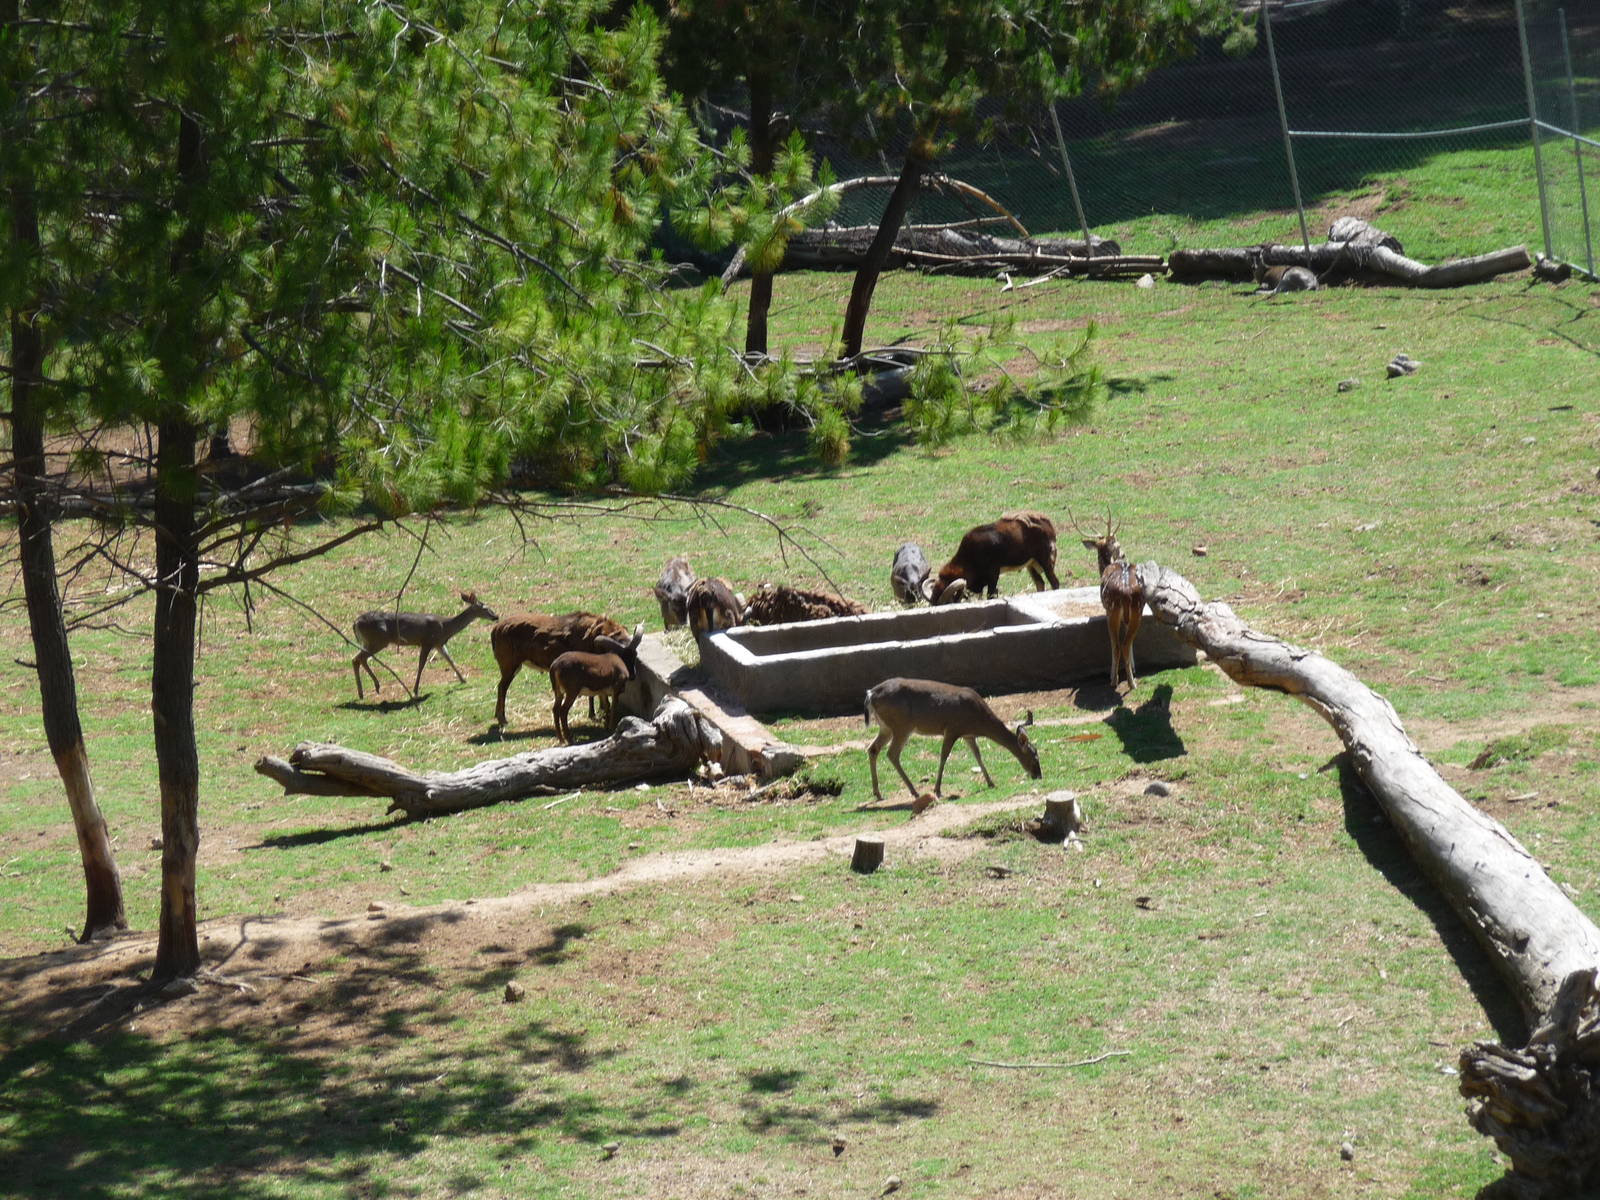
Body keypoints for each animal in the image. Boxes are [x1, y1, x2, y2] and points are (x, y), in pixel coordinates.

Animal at [351, 591, 498, 700]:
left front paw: (463, 679)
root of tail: (356, 622)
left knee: (358, 659)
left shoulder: (438, 643)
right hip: (378, 640)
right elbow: (421, 665)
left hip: (371, 641)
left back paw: (366, 691)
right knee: (358, 658)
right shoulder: (427, 641)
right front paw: (415, 690)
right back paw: (369, 689)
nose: (496, 616)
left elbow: (449, 659)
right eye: (485, 608)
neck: (446, 627)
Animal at [489, 609, 627, 726]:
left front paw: (597, 713)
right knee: (502, 687)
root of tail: (496, 629)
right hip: (510, 666)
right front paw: (595, 714)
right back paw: (502, 719)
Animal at [863, 677, 1041, 804]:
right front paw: (937, 789)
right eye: (1034, 756)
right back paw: (914, 791)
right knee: (892, 753)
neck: (979, 720)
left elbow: (978, 755)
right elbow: (944, 756)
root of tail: (870, 694)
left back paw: (878, 793)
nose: (1038, 775)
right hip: (902, 725)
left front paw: (990, 782)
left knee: (873, 749)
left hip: (886, 727)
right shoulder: (952, 729)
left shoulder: (968, 735)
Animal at [927, 511, 1058, 605]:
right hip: (1031, 565)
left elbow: (990, 595)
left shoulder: (994, 573)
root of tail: (1047, 524)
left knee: (1055, 583)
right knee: (1040, 583)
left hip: (1045, 560)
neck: (969, 556)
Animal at [1074, 510, 1146, 693]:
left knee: (1118, 645)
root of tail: (1126, 591)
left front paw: (1116, 676)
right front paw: (1133, 668)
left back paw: (1121, 682)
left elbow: (1115, 644)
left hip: (1112, 609)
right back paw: (1131, 679)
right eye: (1117, 544)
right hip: (1137, 608)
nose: (1123, 554)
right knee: (1127, 641)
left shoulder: (1108, 610)